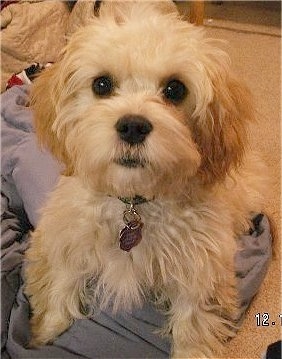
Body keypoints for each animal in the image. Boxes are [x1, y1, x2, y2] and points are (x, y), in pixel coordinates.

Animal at [24, 2, 266, 358]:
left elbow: (194, 323)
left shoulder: (200, 270)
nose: (133, 126)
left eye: (175, 89)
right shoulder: (67, 241)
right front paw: (43, 336)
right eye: (101, 84)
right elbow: (59, 288)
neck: (133, 203)